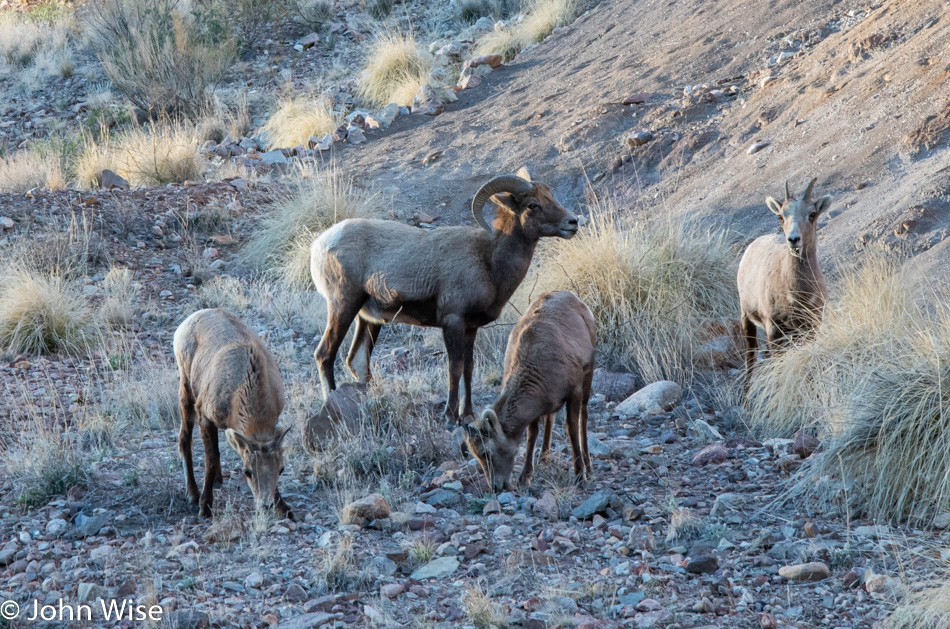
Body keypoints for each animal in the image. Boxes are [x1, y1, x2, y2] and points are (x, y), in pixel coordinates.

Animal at [175, 306, 292, 516]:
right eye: (247, 472)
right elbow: (211, 459)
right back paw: (193, 495)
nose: (266, 505)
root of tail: (190, 319)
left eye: (281, 469)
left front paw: (284, 507)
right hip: (186, 389)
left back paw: (217, 481)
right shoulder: (205, 417)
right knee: (184, 440)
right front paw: (205, 506)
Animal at [462, 290, 596, 490]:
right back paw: (544, 457)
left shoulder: (575, 392)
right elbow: (532, 434)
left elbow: (572, 429)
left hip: (588, 376)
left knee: (584, 417)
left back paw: (588, 466)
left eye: (485, 452)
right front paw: (525, 477)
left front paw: (580, 476)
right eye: (476, 455)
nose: (496, 486)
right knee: (550, 417)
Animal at [736, 175, 832, 382]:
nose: (793, 240)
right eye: (780, 216)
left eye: (812, 214)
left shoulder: (812, 325)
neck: (795, 294)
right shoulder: (773, 328)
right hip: (747, 319)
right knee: (751, 359)